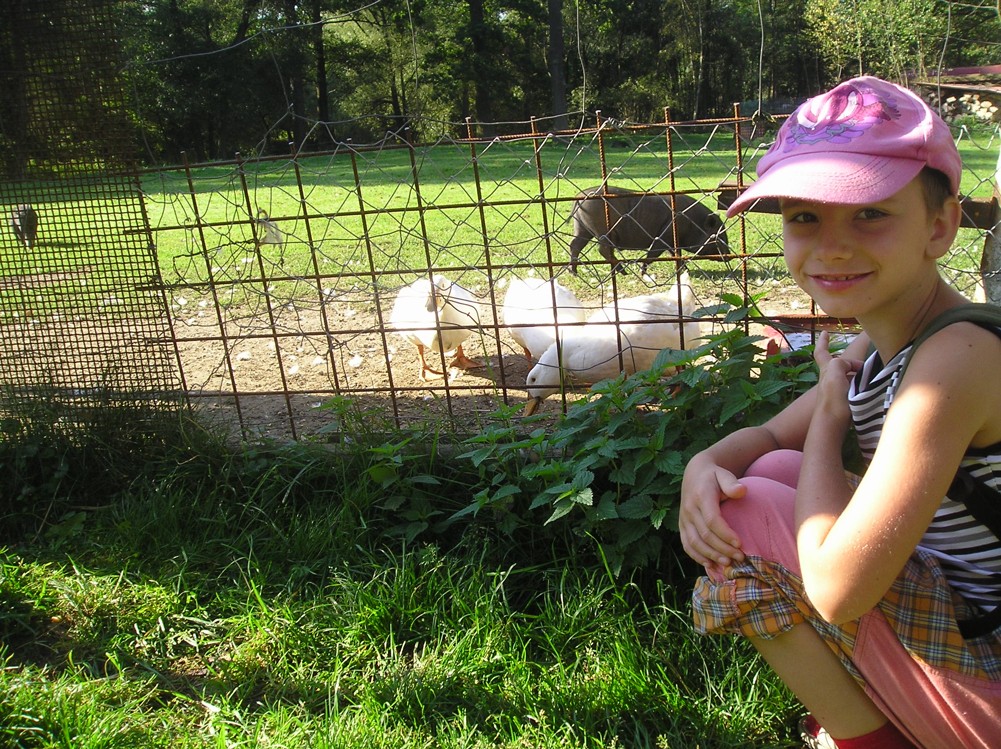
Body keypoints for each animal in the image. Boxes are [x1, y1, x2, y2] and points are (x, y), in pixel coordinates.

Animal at [567, 186, 729, 275]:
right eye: (718, 236)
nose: (729, 255)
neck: (693, 222)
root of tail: (579, 196)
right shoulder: (663, 237)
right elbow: (653, 254)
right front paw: (642, 272)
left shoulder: (671, 241)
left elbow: (676, 254)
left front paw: (685, 271)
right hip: (602, 230)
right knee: (603, 249)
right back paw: (624, 272)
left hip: (582, 228)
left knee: (575, 244)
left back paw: (573, 273)